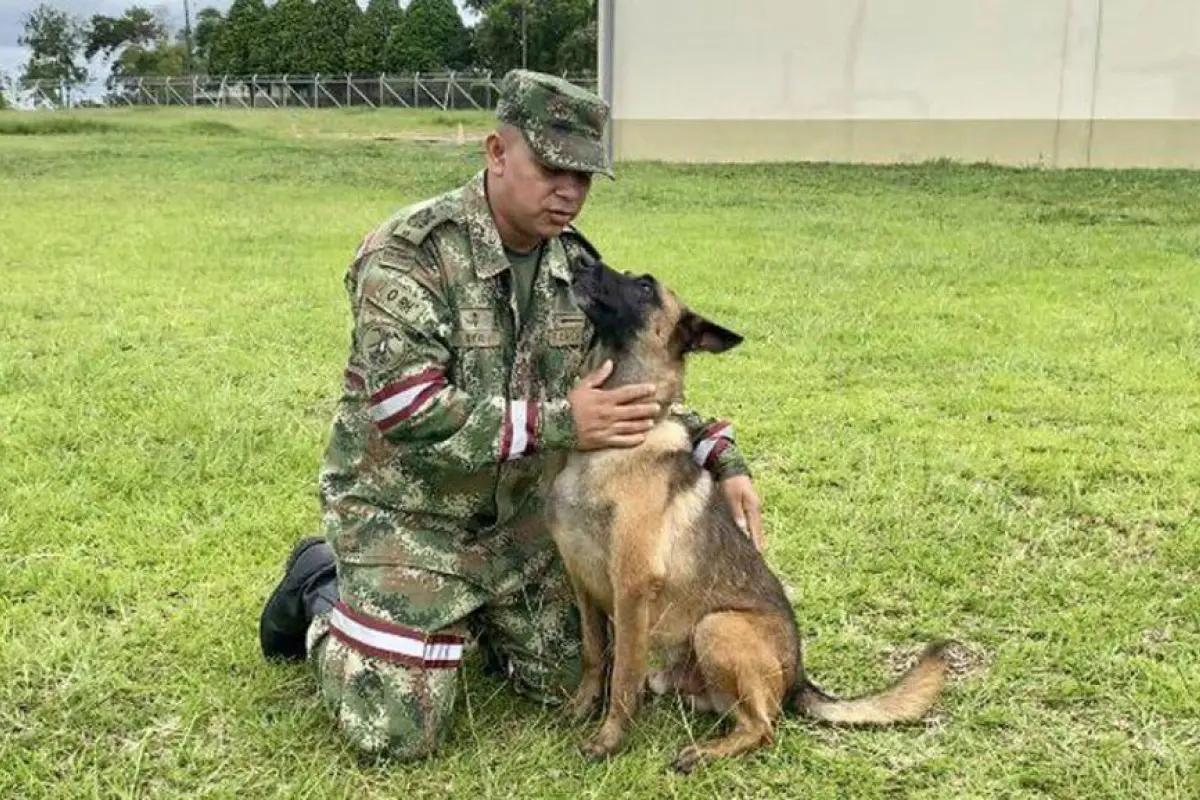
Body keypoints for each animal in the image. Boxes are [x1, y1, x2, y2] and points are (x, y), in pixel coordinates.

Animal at [549, 253, 950, 772]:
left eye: (644, 287)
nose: (579, 259)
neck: (610, 446)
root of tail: (799, 675)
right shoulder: (583, 583)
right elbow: (595, 654)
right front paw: (580, 708)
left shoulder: (631, 588)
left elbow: (623, 676)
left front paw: (609, 740)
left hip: (718, 626)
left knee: (762, 727)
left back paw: (702, 752)